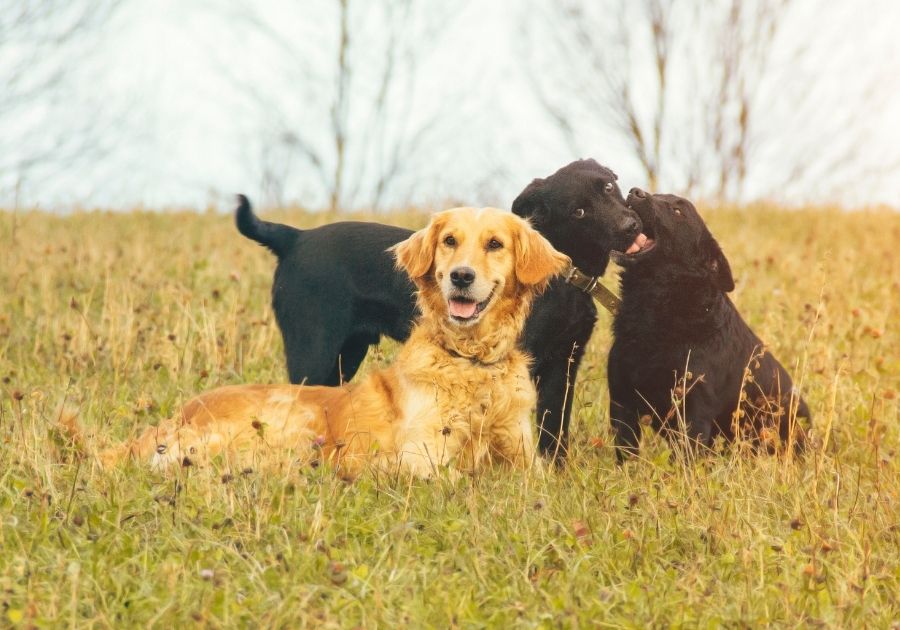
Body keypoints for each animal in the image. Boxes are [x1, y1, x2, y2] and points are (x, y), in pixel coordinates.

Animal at [236, 158, 644, 464]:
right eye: (579, 211)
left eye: (609, 188)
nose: (631, 225)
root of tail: (294, 237)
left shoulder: (564, 365)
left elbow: (554, 429)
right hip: (313, 353)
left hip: (344, 357)